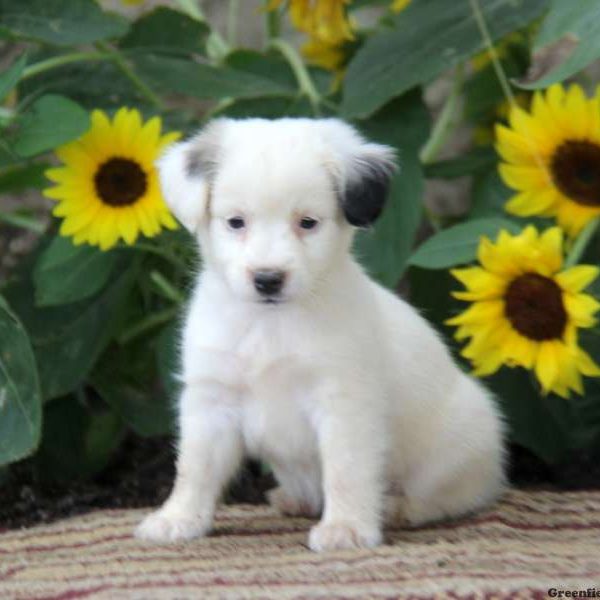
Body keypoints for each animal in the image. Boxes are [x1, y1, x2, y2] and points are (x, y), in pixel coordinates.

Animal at [137, 117, 506, 552]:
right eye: (236, 222)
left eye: (308, 223)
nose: (268, 279)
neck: (271, 324)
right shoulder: (212, 400)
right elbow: (194, 468)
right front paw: (178, 519)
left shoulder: (343, 404)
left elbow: (346, 469)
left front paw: (346, 527)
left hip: (454, 451)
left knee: (449, 497)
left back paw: (397, 507)